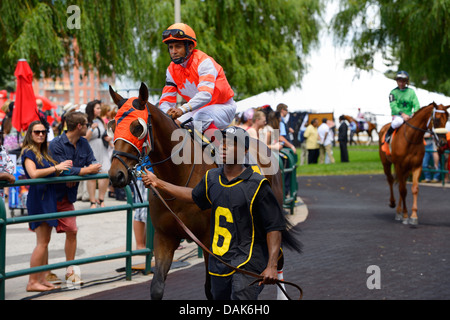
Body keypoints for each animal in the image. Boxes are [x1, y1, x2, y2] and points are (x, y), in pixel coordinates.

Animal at [107, 82, 300, 300]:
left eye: (137, 127)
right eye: (113, 126)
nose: (116, 174)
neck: (179, 174)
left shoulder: (210, 240)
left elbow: (212, 289)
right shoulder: (164, 236)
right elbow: (157, 287)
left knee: (277, 259)